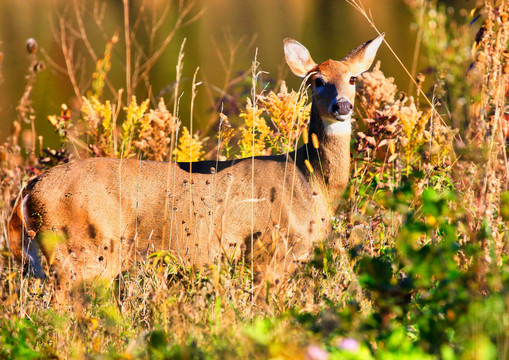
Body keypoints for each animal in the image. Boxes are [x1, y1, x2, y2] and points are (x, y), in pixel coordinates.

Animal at [7, 33, 380, 292]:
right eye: (317, 81)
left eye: (353, 78)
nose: (342, 106)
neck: (309, 179)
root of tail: (28, 193)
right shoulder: (269, 252)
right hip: (81, 253)